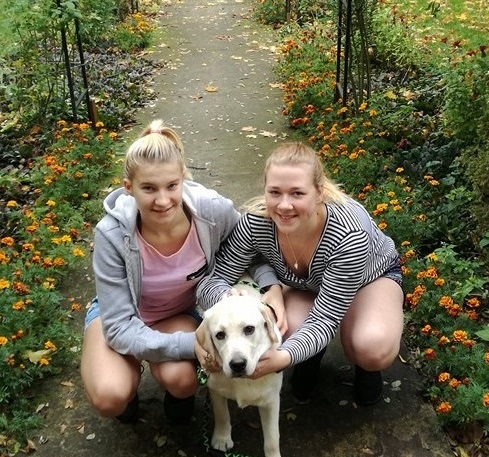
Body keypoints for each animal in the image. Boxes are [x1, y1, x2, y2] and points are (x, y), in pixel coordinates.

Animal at [196, 292, 283, 457]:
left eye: (249, 329)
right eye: (220, 335)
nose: (237, 364)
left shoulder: (271, 400)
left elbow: (273, 439)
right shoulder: (215, 390)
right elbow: (221, 414)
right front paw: (222, 438)